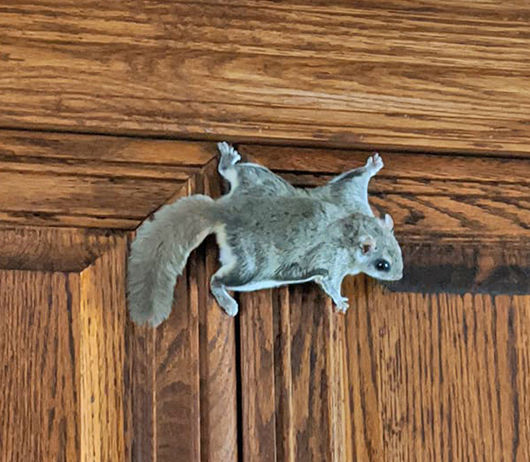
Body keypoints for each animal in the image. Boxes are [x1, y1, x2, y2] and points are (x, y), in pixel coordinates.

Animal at [127, 143, 400, 326]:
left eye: (398, 251)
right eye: (382, 265)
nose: (399, 276)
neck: (354, 228)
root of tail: (226, 210)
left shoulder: (348, 196)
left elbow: (355, 178)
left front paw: (373, 165)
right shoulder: (332, 261)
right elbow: (329, 283)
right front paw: (340, 301)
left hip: (257, 176)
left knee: (234, 172)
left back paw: (228, 159)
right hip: (252, 268)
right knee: (218, 280)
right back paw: (227, 301)